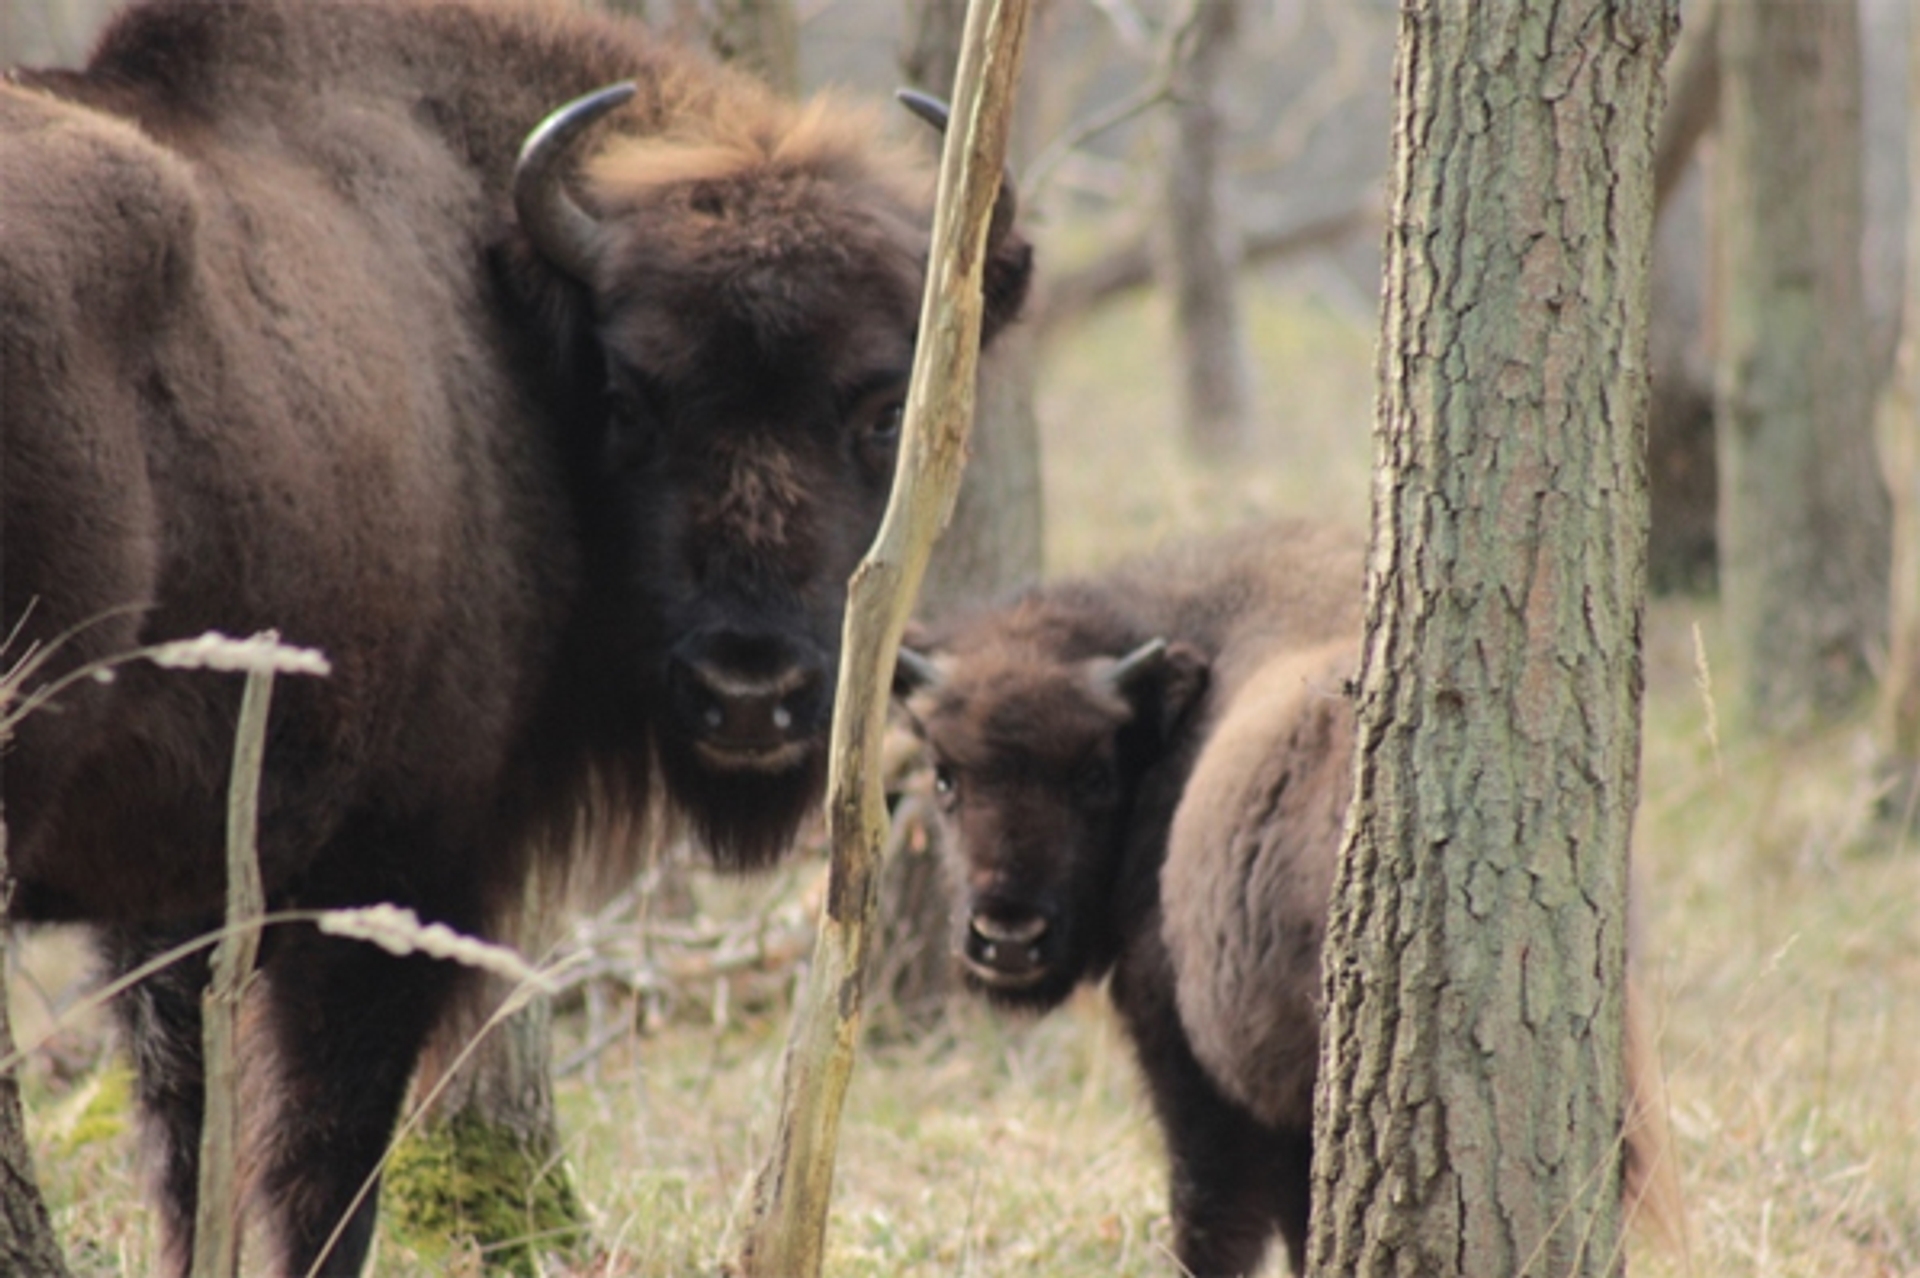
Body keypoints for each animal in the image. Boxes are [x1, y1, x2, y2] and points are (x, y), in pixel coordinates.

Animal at [0, 4, 1029, 1266]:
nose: (748, 693)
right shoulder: (392, 870)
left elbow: (193, 1147)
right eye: (630, 399)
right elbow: (316, 1158)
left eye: (886, 410)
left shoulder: (177, 894)